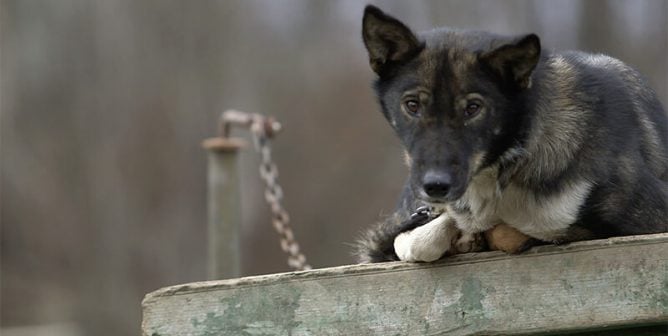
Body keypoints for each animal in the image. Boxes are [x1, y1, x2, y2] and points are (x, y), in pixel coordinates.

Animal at [358, 3, 668, 264]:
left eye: (473, 108)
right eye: (412, 105)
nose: (435, 186)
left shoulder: (653, 222)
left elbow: (520, 230)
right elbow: (416, 240)